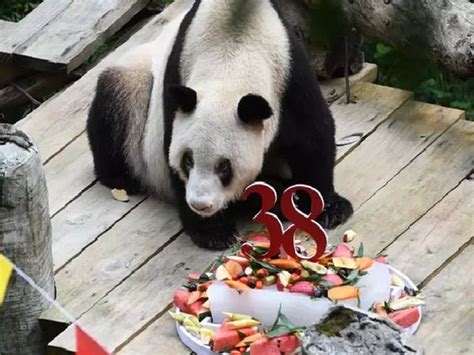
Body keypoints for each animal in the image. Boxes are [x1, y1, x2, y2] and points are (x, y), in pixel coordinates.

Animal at [86, 0, 352, 250]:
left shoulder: (289, 72)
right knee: (115, 102)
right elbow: (169, 149)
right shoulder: (177, 78)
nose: (200, 204)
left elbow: (313, 137)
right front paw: (214, 233)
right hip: (137, 84)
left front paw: (328, 207)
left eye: (224, 167)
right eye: (188, 160)